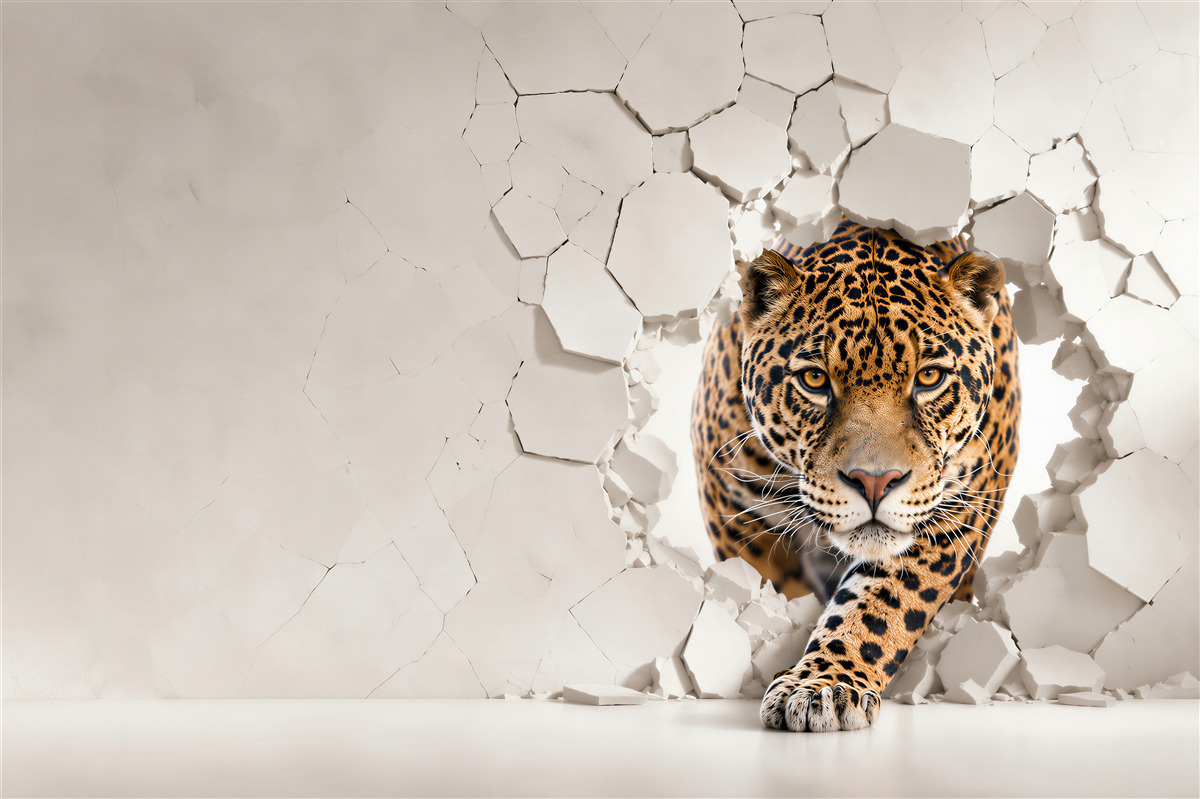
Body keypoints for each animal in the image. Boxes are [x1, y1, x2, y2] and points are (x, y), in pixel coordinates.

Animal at [690, 218, 1020, 732]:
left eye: (929, 378)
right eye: (814, 380)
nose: (874, 482)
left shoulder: (952, 518)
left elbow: (878, 610)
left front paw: (822, 686)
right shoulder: (737, 511)